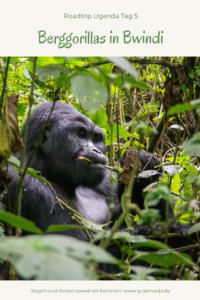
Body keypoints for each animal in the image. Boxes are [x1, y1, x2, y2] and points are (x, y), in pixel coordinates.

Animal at [4, 102, 162, 240]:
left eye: (96, 138)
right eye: (81, 134)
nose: (96, 151)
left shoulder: (105, 179)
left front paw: (145, 169)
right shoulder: (27, 185)